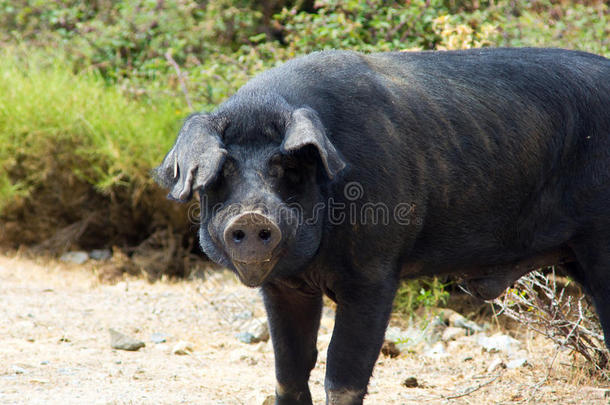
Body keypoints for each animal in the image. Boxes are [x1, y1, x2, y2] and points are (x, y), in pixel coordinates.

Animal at [153, 48, 608, 404]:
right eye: (221, 172)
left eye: (288, 167)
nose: (251, 215)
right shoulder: (282, 285)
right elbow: (289, 371)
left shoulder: (374, 271)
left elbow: (344, 373)